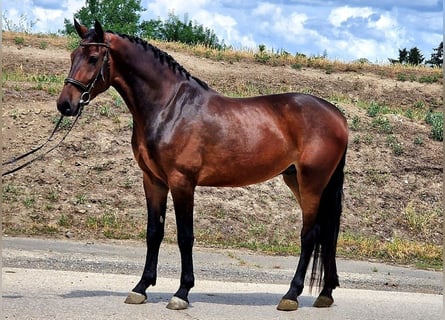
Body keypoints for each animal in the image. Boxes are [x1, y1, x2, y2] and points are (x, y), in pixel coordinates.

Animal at [56, 20, 346, 312]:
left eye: (93, 58)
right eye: (72, 56)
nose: (65, 104)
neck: (170, 107)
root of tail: (337, 116)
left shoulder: (182, 182)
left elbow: (185, 236)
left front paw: (182, 292)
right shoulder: (153, 181)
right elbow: (154, 232)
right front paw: (141, 287)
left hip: (311, 183)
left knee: (310, 235)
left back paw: (291, 295)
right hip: (296, 179)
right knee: (326, 234)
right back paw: (325, 293)